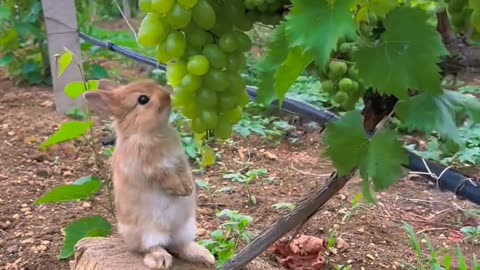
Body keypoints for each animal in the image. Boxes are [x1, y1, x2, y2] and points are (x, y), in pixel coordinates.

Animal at [83, 79, 215, 268]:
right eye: (143, 99)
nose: (167, 96)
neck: (147, 131)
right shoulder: (150, 168)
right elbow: (165, 177)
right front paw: (180, 190)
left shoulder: (179, 160)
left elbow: (183, 171)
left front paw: (188, 188)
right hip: (148, 233)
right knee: (152, 247)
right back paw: (161, 260)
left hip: (186, 227)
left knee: (180, 246)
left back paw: (205, 256)